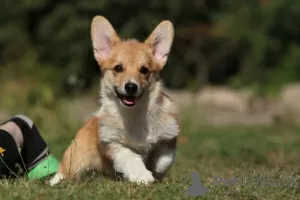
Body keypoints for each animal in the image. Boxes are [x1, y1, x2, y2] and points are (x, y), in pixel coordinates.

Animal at [50, 15, 179, 186]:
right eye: (118, 68)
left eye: (144, 70)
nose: (131, 86)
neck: (134, 115)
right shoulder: (112, 144)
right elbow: (130, 158)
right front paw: (143, 176)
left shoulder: (169, 135)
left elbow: (164, 158)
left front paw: (155, 169)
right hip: (75, 162)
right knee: (63, 173)